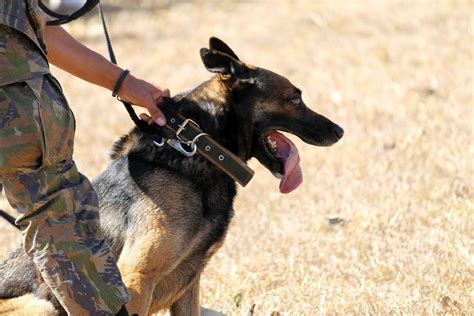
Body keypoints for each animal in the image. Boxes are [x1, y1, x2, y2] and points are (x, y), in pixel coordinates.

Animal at [0, 37, 342, 316]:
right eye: (295, 99)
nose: (339, 131)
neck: (199, 147)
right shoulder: (135, 280)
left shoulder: (189, 285)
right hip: (40, 305)